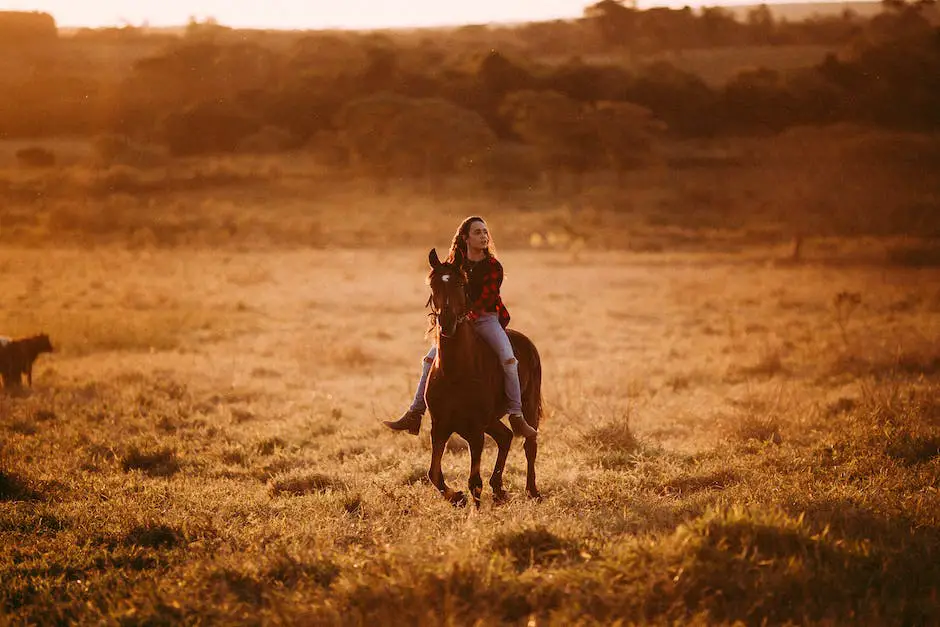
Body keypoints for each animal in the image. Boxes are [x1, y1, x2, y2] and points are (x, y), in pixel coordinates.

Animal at [422, 248, 540, 508]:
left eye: (459, 283)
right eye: (433, 284)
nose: (446, 322)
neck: (455, 372)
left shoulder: (475, 430)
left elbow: (474, 481)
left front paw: (474, 512)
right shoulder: (439, 426)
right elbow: (433, 473)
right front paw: (456, 497)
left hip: (528, 405)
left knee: (529, 443)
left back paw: (532, 491)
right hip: (491, 420)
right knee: (505, 437)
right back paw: (498, 490)